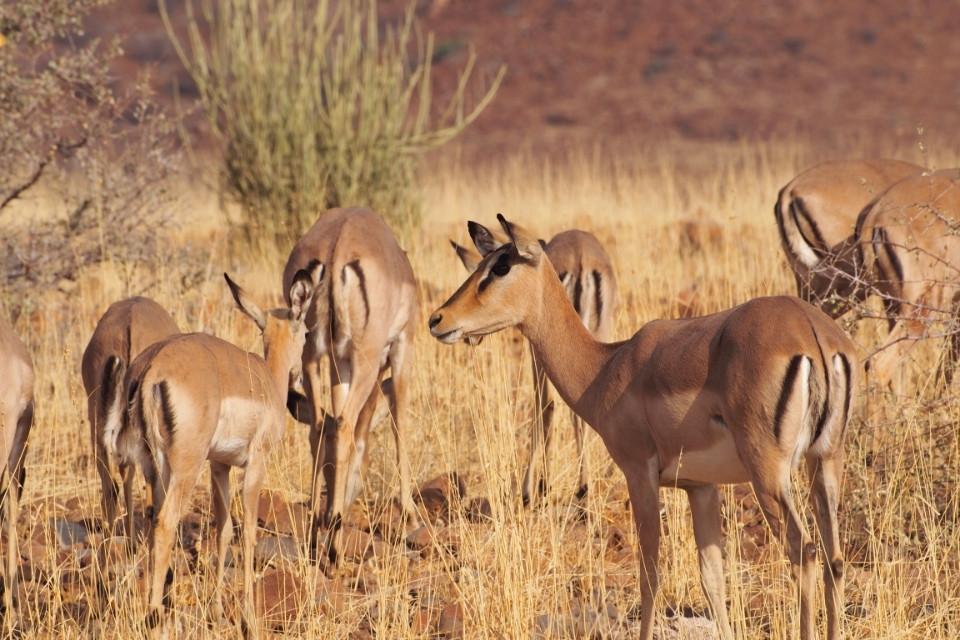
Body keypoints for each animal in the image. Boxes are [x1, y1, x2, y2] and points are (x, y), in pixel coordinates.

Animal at [104, 267, 318, 634]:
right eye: (306, 331)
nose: (300, 380)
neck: (265, 380)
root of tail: (151, 368)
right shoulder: (256, 463)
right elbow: (248, 533)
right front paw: (248, 619)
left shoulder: (220, 465)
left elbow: (223, 530)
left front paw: (218, 613)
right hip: (184, 471)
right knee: (165, 524)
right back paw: (153, 617)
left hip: (154, 469)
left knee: (151, 522)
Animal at [282, 207, 419, 564]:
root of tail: (337, 248)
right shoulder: (400, 348)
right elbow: (399, 426)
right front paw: (411, 516)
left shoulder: (338, 364)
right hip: (366, 358)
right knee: (344, 426)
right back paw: (335, 544)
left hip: (311, 354)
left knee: (320, 428)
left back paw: (316, 531)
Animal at [451, 227, 617, 505]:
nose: (468, 337)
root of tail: (581, 257)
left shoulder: (536, 352)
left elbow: (544, 407)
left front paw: (535, 488)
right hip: (599, 331)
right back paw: (591, 481)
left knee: (552, 407)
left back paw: (572, 487)